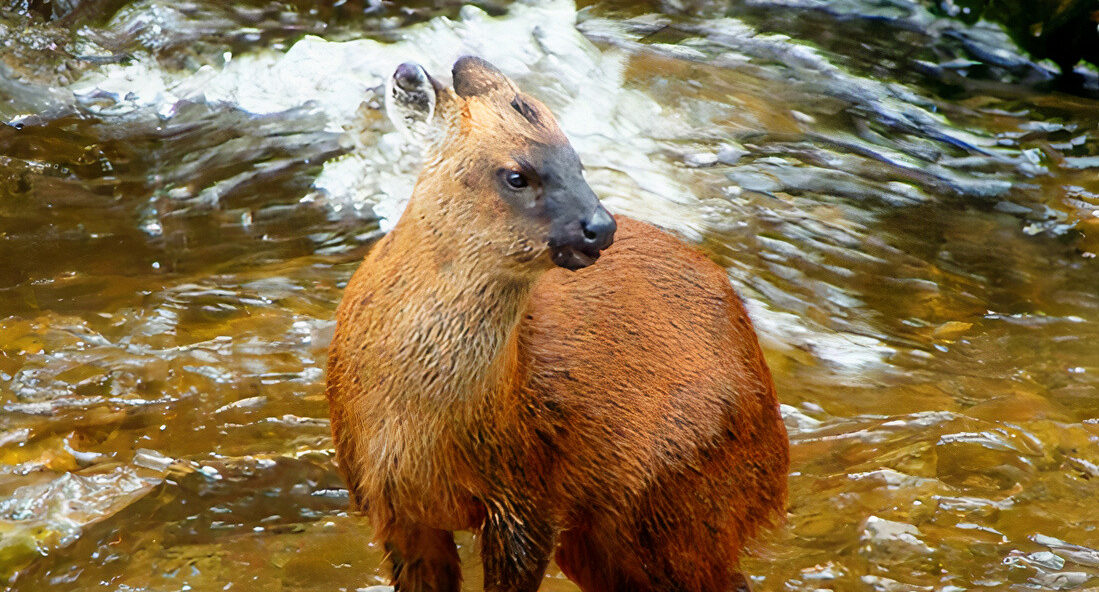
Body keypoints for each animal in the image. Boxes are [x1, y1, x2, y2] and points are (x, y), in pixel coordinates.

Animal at [325, 56, 791, 592]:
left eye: (578, 162)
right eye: (515, 175)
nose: (601, 227)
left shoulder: (529, 498)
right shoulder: (390, 505)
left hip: (679, 505)